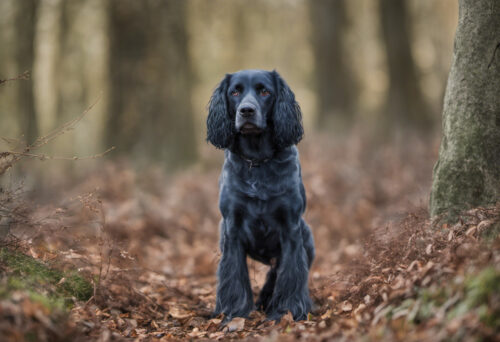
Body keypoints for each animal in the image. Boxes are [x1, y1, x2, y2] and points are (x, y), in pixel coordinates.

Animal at [205, 69, 314, 320]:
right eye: (235, 92)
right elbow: (234, 274)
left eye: (264, 91)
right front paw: (233, 311)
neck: (257, 162)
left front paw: (287, 310)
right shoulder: (232, 230)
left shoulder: (291, 228)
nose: (246, 110)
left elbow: (290, 273)